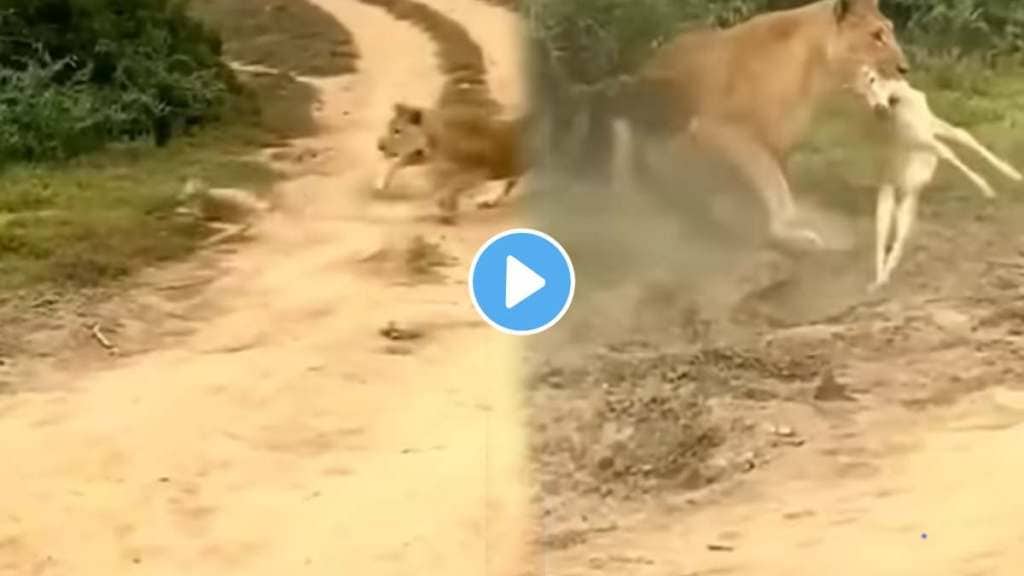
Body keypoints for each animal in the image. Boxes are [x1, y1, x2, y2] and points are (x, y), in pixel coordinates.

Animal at [374, 101, 527, 224]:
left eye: (397, 131)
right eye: (389, 127)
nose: (380, 146)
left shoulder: (479, 173)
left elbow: (450, 189)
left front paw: (448, 211)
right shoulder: (425, 156)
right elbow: (397, 164)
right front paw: (382, 183)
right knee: (511, 183)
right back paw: (490, 201)